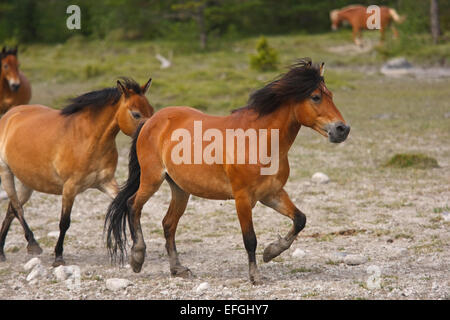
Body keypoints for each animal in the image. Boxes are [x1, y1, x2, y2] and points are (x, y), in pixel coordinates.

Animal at [0, 77, 154, 264]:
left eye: (152, 110)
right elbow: (64, 222)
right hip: (5, 172)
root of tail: (9, 115)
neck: (89, 140)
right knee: (16, 208)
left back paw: (1, 252)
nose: (149, 135)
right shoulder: (69, 188)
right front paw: (58, 257)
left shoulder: (106, 182)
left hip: (28, 181)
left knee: (11, 208)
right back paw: (33, 244)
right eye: (136, 114)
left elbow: (123, 206)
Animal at [105, 58, 352, 284]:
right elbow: (250, 239)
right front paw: (255, 276)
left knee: (168, 223)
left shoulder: (271, 193)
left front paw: (271, 252)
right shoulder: (242, 198)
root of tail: (149, 121)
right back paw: (138, 257)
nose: (342, 129)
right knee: (133, 206)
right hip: (152, 179)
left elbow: (300, 219)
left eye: (331, 95)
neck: (259, 139)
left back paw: (178, 269)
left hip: (180, 189)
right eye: (316, 97)